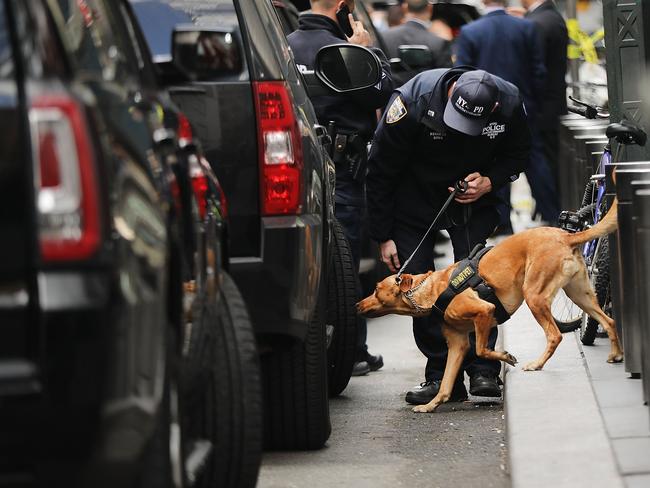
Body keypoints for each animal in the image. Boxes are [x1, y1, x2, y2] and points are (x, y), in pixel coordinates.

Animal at [356, 202, 620, 412]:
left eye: (376, 289)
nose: (357, 304)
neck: (433, 290)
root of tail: (565, 236)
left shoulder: (484, 313)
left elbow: (482, 350)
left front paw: (506, 357)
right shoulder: (457, 344)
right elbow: (446, 382)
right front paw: (431, 405)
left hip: (535, 296)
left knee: (555, 335)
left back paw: (536, 364)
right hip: (580, 295)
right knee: (609, 321)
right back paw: (616, 354)